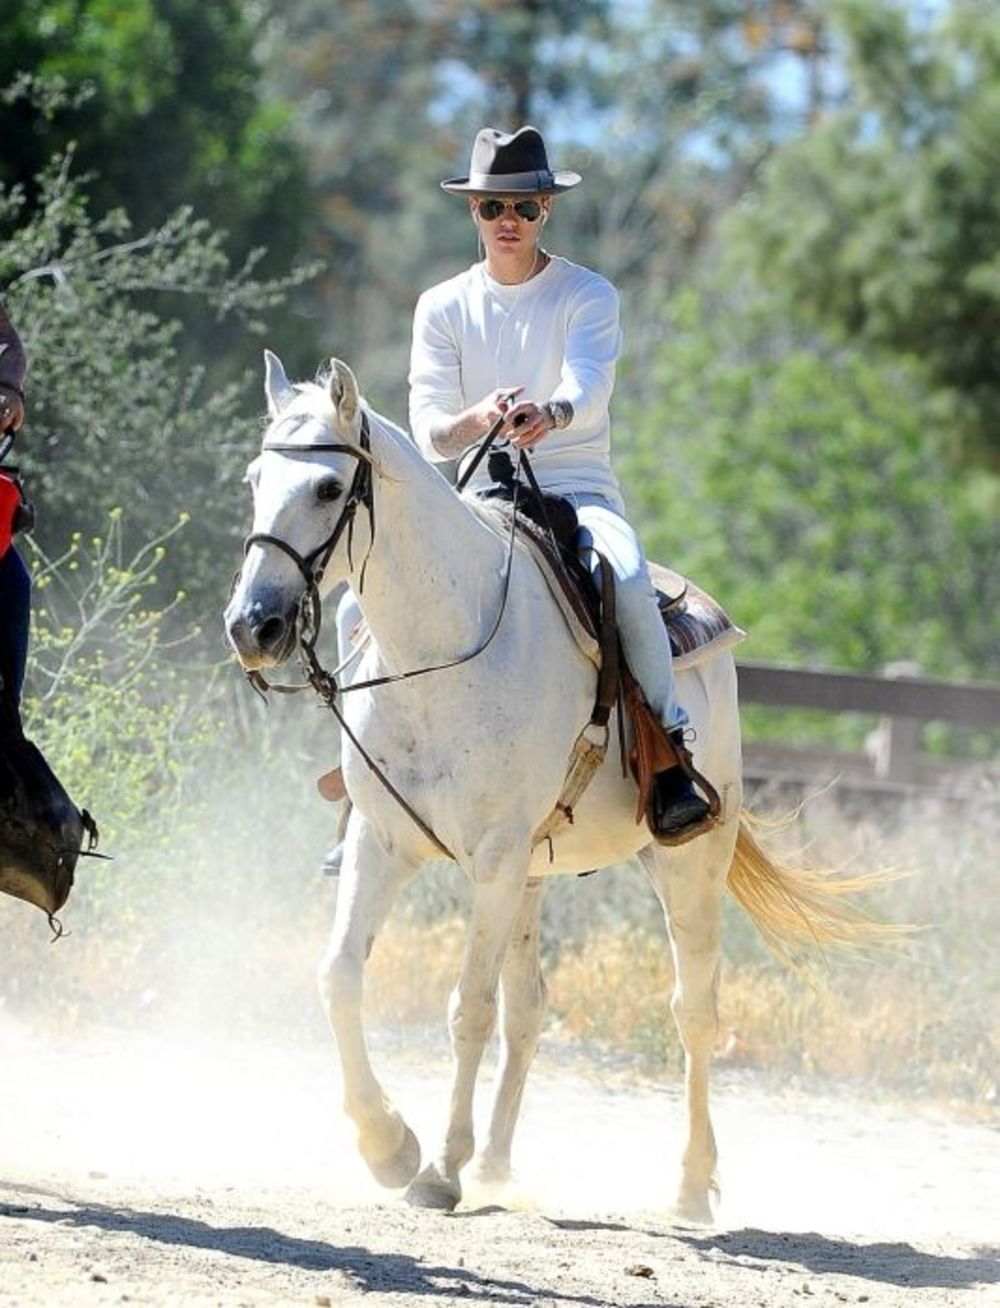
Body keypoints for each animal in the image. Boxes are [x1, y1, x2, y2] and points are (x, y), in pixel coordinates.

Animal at [224, 353, 873, 1219]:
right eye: (256, 480)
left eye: (330, 489)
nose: (251, 626)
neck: (442, 652)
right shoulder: (381, 842)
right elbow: (340, 976)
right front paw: (388, 1145)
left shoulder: (495, 861)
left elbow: (468, 1007)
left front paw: (437, 1168)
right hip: (537, 874)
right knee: (530, 1007)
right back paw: (497, 1164)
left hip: (685, 865)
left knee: (694, 1010)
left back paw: (690, 1185)